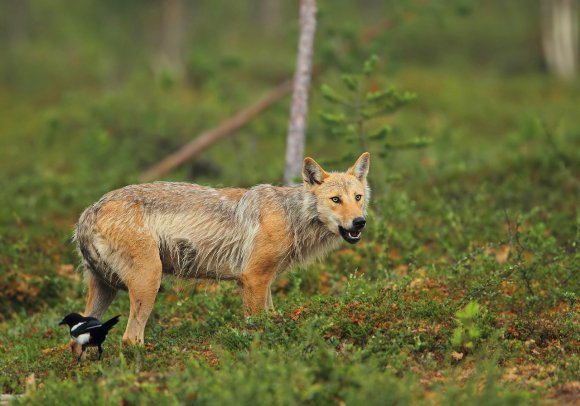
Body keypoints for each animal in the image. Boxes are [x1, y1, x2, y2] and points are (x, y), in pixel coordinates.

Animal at [73, 152, 372, 346]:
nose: (360, 222)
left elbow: (271, 317)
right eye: (336, 200)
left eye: (357, 198)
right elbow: (257, 328)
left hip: (104, 293)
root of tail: (89, 210)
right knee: (130, 339)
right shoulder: (253, 279)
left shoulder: (262, 283)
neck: (291, 216)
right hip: (149, 283)